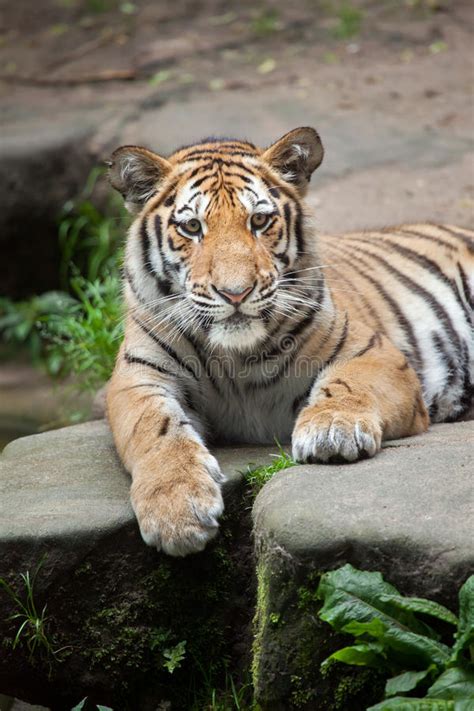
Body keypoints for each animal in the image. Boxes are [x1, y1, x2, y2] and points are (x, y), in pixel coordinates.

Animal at [105, 131, 472, 560]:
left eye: (259, 221)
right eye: (192, 226)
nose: (235, 293)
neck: (234, 359)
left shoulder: (373, 352)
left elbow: (348, 385)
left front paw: (333, 429)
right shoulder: (137, 376)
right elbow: (155, 428)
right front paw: (176, 509)